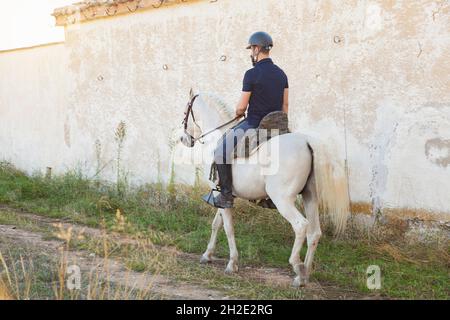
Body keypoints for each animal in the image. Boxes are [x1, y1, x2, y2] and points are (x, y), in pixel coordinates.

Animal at [178, 90, 348, 288]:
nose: (183, 139)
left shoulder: (221, 193)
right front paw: (207, 255)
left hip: (282, 199)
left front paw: (232, 263)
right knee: (314, 232)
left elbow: (228, 227)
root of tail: (307, 142)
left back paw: (297, 266)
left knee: (301, 226)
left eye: (185, 112)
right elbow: (216, 224)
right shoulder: (224, 196)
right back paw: (303, 275)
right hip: (310, 196)